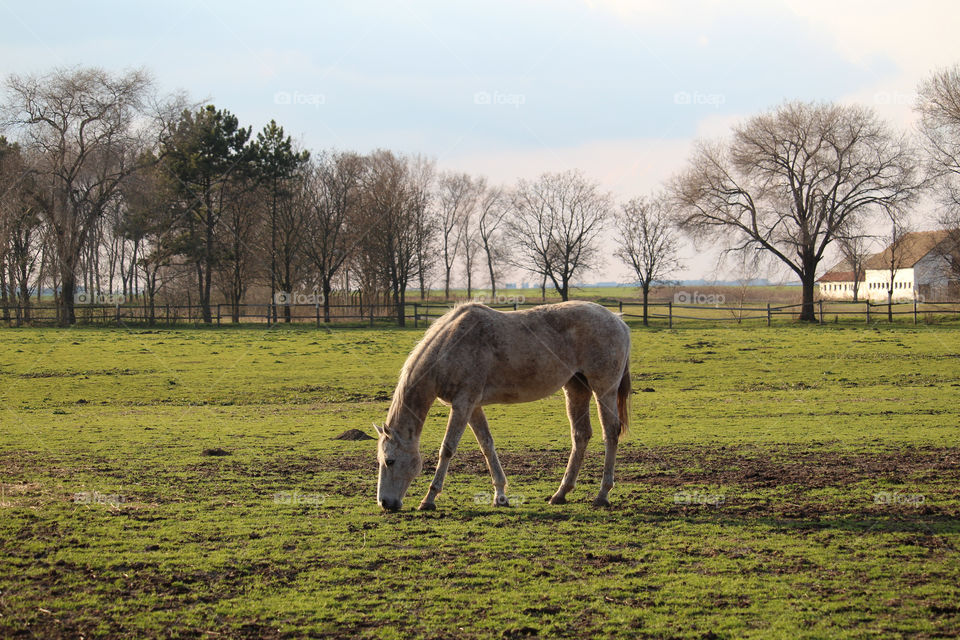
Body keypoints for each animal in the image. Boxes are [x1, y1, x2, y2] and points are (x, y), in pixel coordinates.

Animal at [376, 298, 632, 510]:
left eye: (390, 461)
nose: (385, 503)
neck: (449, 345)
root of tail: (619, 322)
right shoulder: (472, 407)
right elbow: (487, 445)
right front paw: (500, 496)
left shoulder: (462, 404)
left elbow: (447, 449)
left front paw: (429, 499)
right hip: (576, 388)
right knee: (580, 435)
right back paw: (560, 494)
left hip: (604, 390)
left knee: (610, 433)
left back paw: (602, 495)